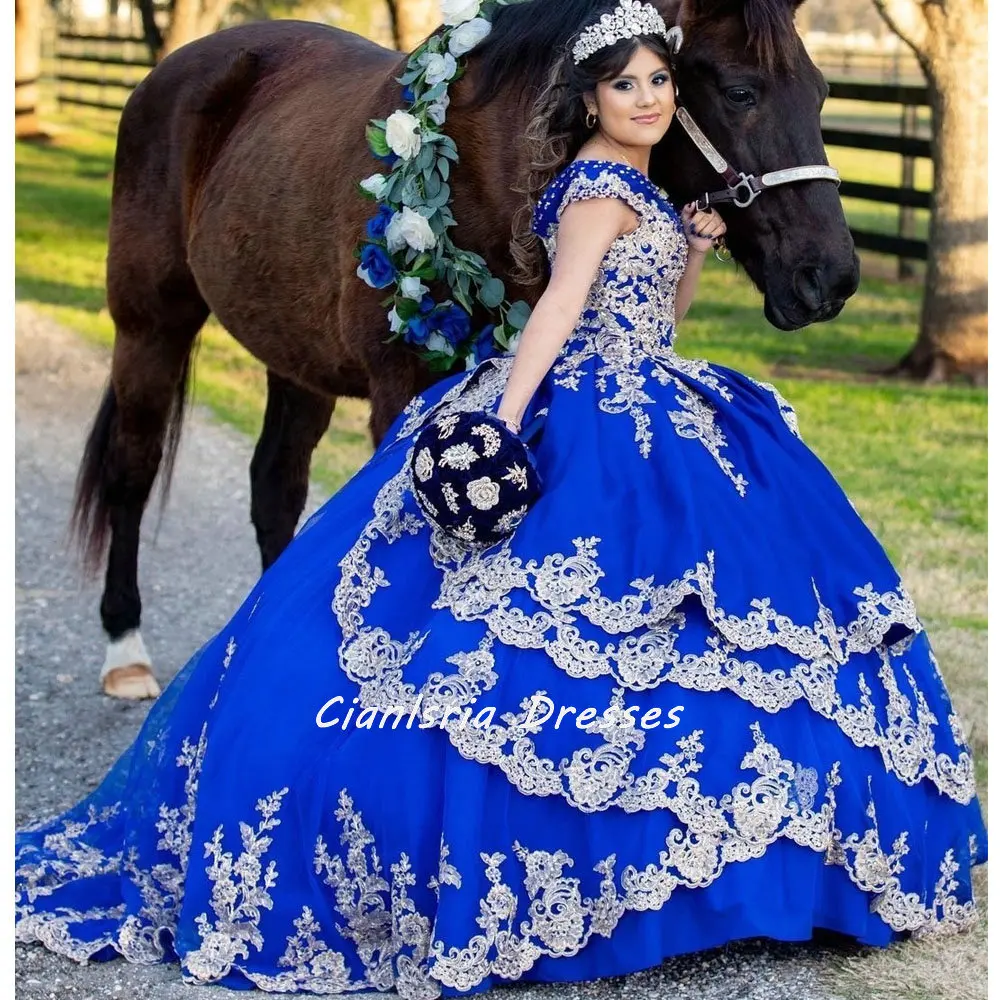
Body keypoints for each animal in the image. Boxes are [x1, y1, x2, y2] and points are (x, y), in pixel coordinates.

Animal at [74, 0, 864, 700]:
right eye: (740, 92)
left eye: (822, 93)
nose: (832, 277)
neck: (480, 168)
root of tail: (175, 72)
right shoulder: (401, 391)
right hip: (151, 327)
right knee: (132, 470)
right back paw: (124, 652)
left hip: (295, 359)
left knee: (275, 489)